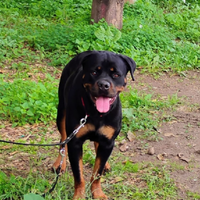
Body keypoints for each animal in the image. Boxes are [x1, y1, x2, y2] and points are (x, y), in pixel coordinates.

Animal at [52, 50, 136, 200]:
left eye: (116, 74)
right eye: (94, 72)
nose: (103, 85)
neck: (95, 113)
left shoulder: (108, 141)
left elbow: (97, 173)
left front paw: (97, 193)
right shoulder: (75, 142)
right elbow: (79, 175)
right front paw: (79, 196)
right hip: (61, 112)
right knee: (63, 139)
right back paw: (59, 163)